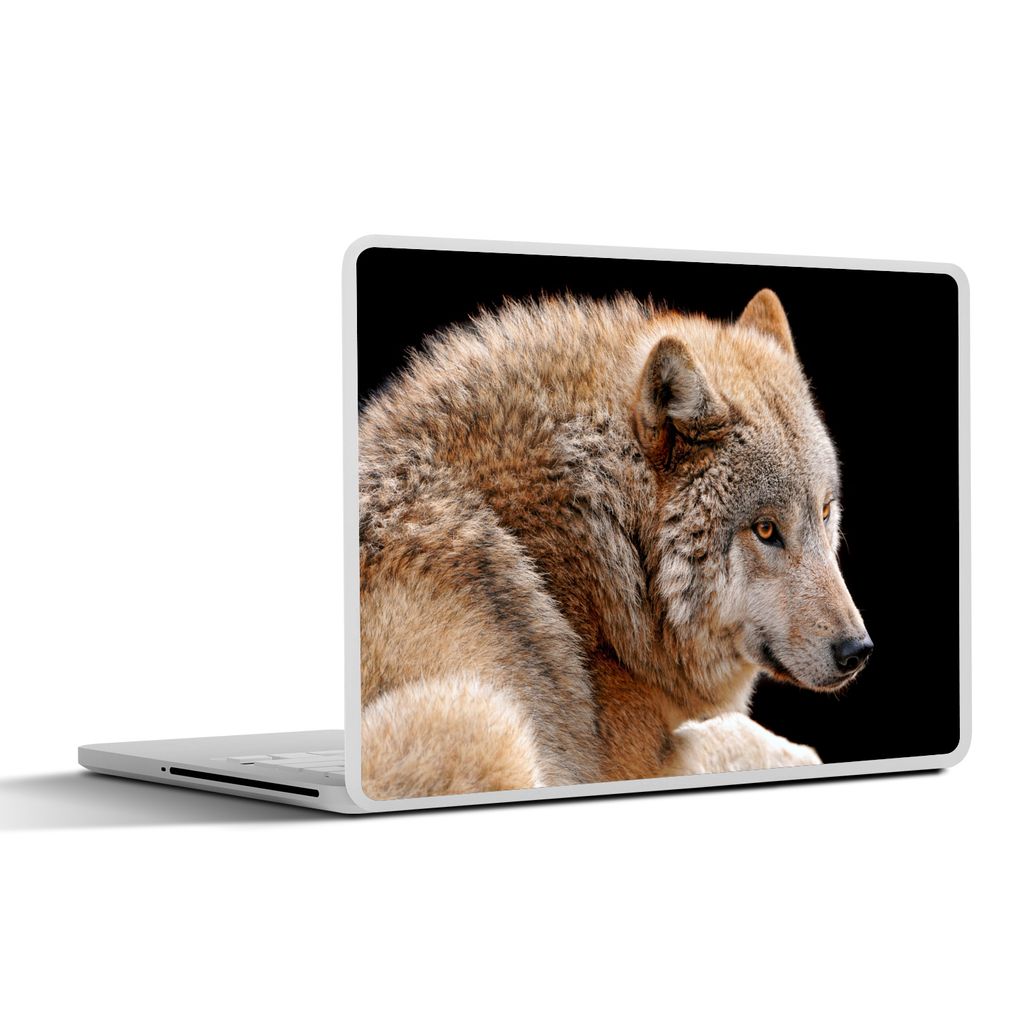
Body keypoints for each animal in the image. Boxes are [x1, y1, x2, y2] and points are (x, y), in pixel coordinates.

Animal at [358, 288, 872, 799]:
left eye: (825, 512)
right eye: (766, 530)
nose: (857, 650)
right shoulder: (634, 762)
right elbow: (731, 737)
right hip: (481, 723)